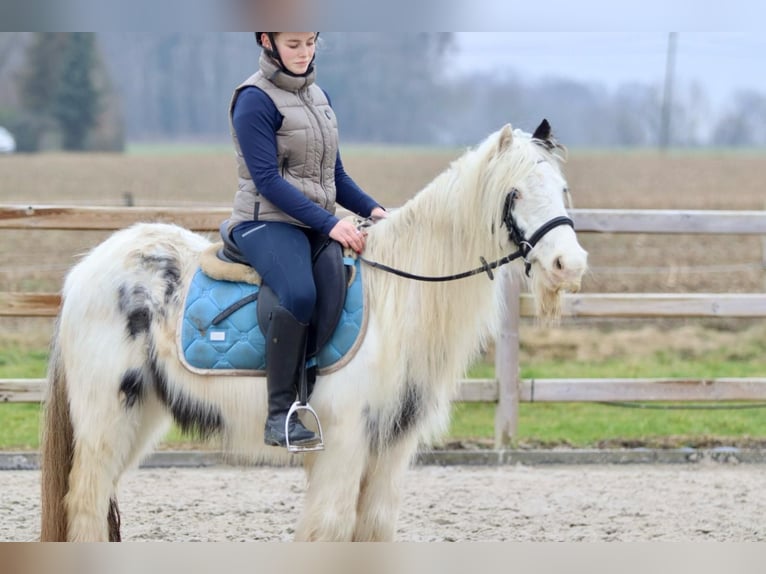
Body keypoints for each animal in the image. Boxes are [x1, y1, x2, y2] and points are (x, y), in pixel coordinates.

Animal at [40, 119, 588, 544]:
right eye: (514, 193)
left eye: (562, 189)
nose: (570, 265)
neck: (396, 298)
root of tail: (87, 270)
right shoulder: (344, 444)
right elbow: (329, 528)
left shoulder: (390, 447)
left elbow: (374, 529)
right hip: (107, 416)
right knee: (84, 503)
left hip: (140, 415)